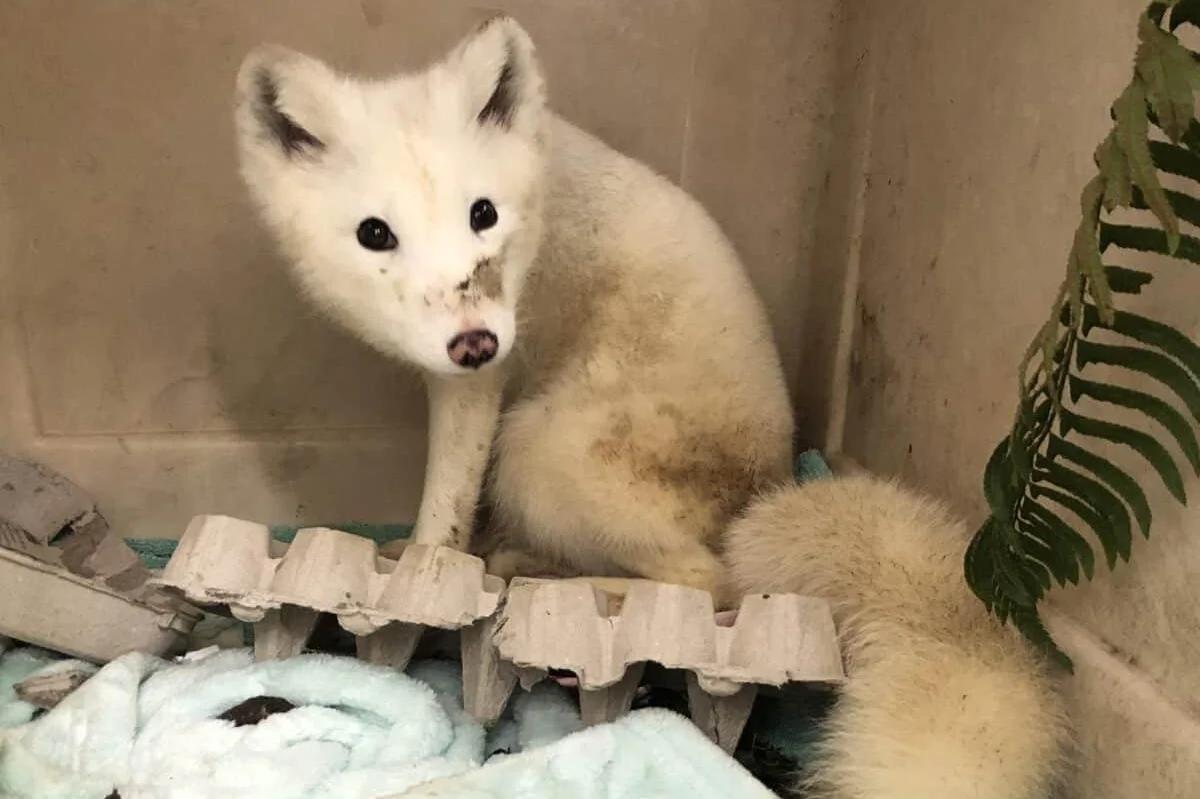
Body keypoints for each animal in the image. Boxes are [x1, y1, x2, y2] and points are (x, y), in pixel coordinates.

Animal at [234, 15, 796, 599]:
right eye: (375, 234)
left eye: (484, 213)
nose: (475, 344)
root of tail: (768, 482)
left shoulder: (476, 386)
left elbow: (444, 508)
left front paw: (419, 572)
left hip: (534, 452)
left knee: (711, 583)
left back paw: (543, 576)